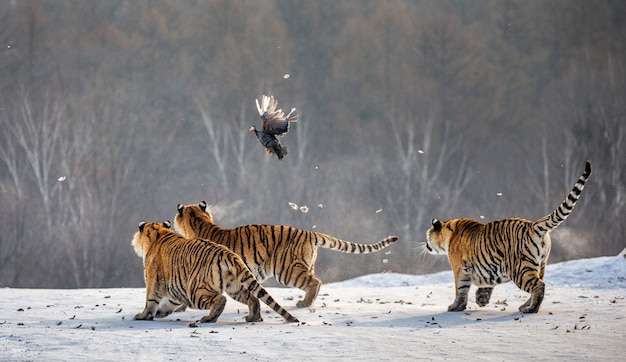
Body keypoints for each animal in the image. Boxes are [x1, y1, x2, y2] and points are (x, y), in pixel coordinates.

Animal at [129, 221, 298, 326]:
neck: (159, 233)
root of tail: (228, 253)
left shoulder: (153, 282)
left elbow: (150, 301)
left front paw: (143, 316)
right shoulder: (174, 287)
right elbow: (169, 301)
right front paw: (160, 313)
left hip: (195, 291)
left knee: (220, 299)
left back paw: (209, 318)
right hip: (235, 287)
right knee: (253, 299)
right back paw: (252, 318)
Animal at [172, 202, 394, 310]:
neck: (200, 221)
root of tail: (309, 233)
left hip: (287, 270)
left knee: (315, 282)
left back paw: (304, 303)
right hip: (303, 265)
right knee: (315, 281)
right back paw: (308, 302)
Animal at [422, 161, 588, 314]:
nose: (426, 244)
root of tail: (533, 225)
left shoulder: (460, 268)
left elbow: (460, 288)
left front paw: (455, 306)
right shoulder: (490, 268)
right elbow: (486, 284)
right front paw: (481, 299)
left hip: (520, 269)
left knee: (539, 285)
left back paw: (530, 309)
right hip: (541, 265)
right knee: (540, 282)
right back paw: (525, 306)